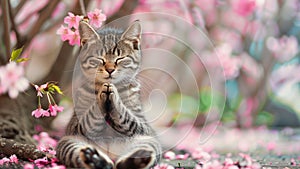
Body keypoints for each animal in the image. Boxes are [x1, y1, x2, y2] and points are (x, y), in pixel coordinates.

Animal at [55, 20, 161, 169]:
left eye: (120, 58)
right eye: (100, 59)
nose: (110, 69)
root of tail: (110, 154)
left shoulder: (142, 126)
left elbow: (127, 115)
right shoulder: (75, 126)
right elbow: (91, 116)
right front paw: (102, 92)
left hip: (149, 141)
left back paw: (136, 159)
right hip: (68, 142)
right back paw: (96, 160)